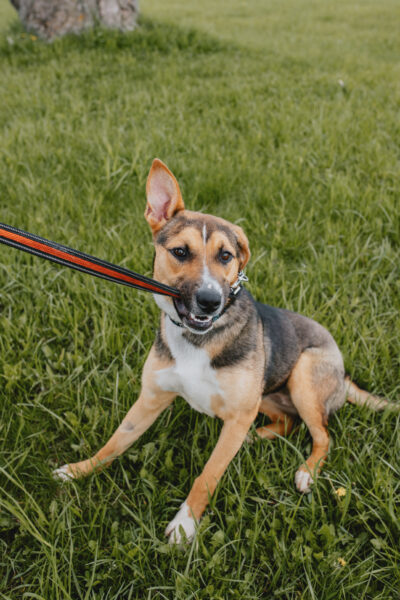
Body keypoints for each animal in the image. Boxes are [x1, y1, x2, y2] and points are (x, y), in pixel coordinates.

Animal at [53, 158, 388, 544]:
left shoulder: (239, 413)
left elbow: (209, 474)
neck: (198, 340)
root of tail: (344, 374)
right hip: (266, 397)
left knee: (323, 436)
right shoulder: (151, 397)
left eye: (226, 255)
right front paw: (78, 470)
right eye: (180, 252)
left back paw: (306, 471)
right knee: (287, 422)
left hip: (303, 375)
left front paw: (185, 526)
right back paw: (255, 438)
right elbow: (115, 443)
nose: (210, 301)